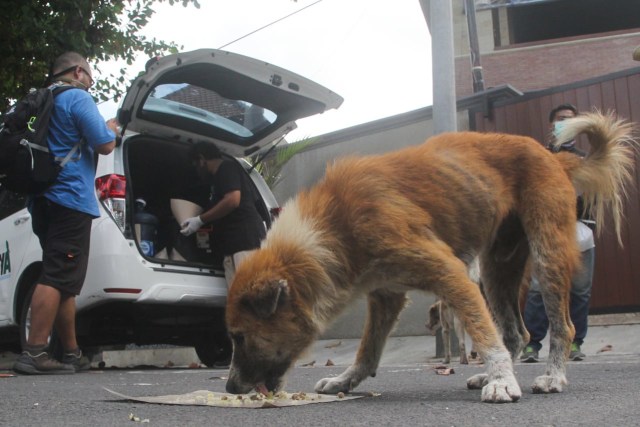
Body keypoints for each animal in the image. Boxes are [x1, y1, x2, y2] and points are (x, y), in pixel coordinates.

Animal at [225, 112, 636, 402]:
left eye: (239, 337)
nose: (229, 388)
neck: (332, 227)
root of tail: (554, 157)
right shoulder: (386, 294)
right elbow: (368, 351)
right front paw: (346, 380)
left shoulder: (449, 272)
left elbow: (483, 334)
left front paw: (503, 382)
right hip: (497, 267)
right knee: (516, 332)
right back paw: (489, 374)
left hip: (546, 253)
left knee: (560, 326)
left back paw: (551, 376)